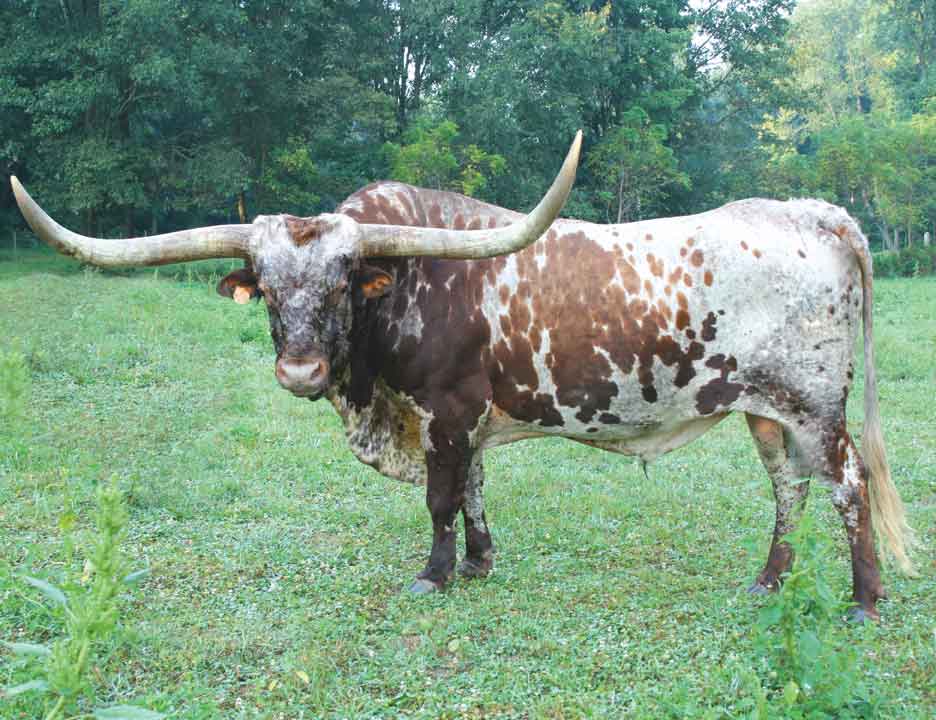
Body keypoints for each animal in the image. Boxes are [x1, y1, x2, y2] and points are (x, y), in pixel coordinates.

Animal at [11, 132, 914, 621]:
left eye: (344, 283)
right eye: (264, 286)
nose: (300, 369)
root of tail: (816, 213)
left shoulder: (442, 413)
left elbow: (442, 497)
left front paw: (435, 573)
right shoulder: (468, 420)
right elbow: (477, 488)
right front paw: (480, 563)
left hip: (818, 407)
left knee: (847, 488)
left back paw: (864, 599)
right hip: (766, 410)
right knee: (787, 489)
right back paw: (768, 581)